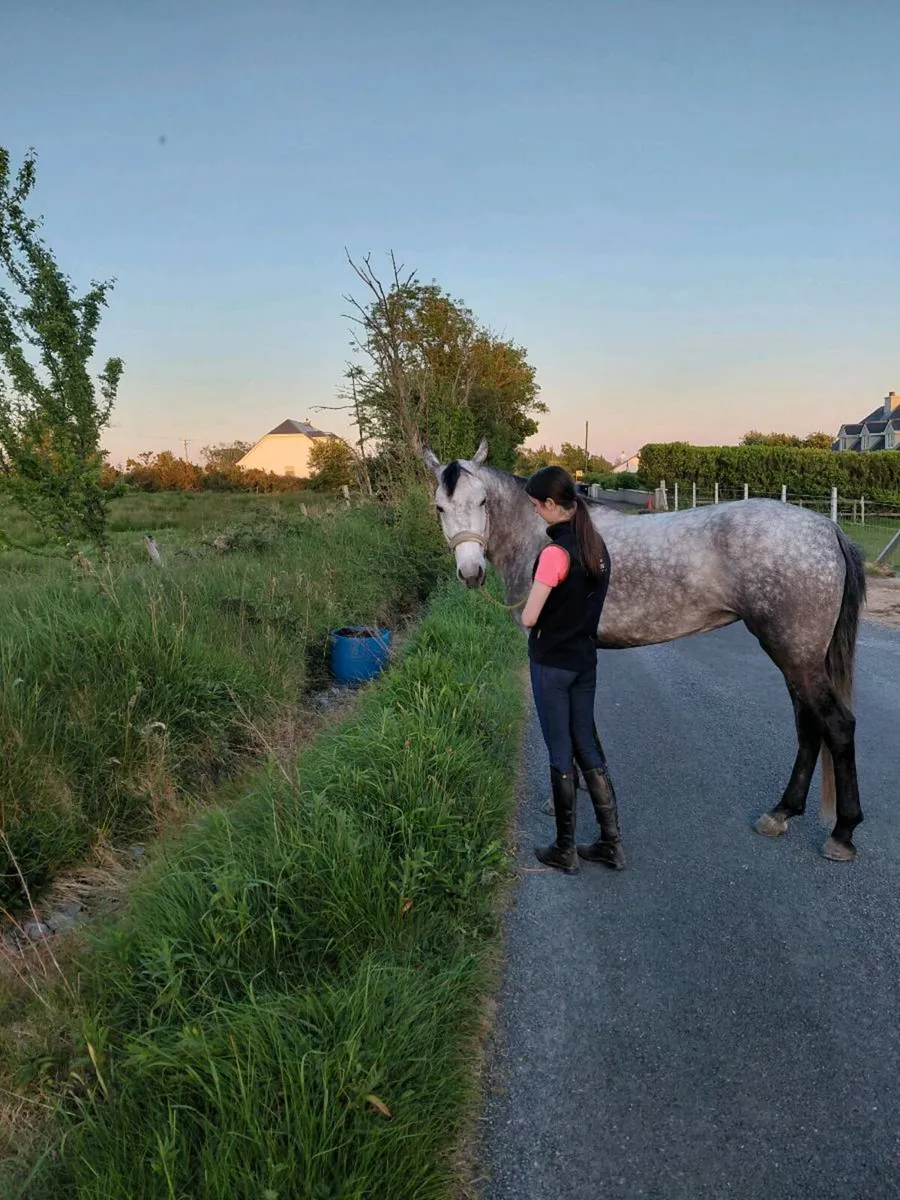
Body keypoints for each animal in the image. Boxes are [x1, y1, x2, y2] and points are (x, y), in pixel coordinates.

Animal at [421, 439, 867, 863]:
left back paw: (842, 834)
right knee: (809, 727)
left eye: (482, 502)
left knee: (837, 726)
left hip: (796, 655)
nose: (471, 573)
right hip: (798, 657)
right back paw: (782, 812)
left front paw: (558, 798)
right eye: (440, 507)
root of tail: (827, 529)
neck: (544, 537)